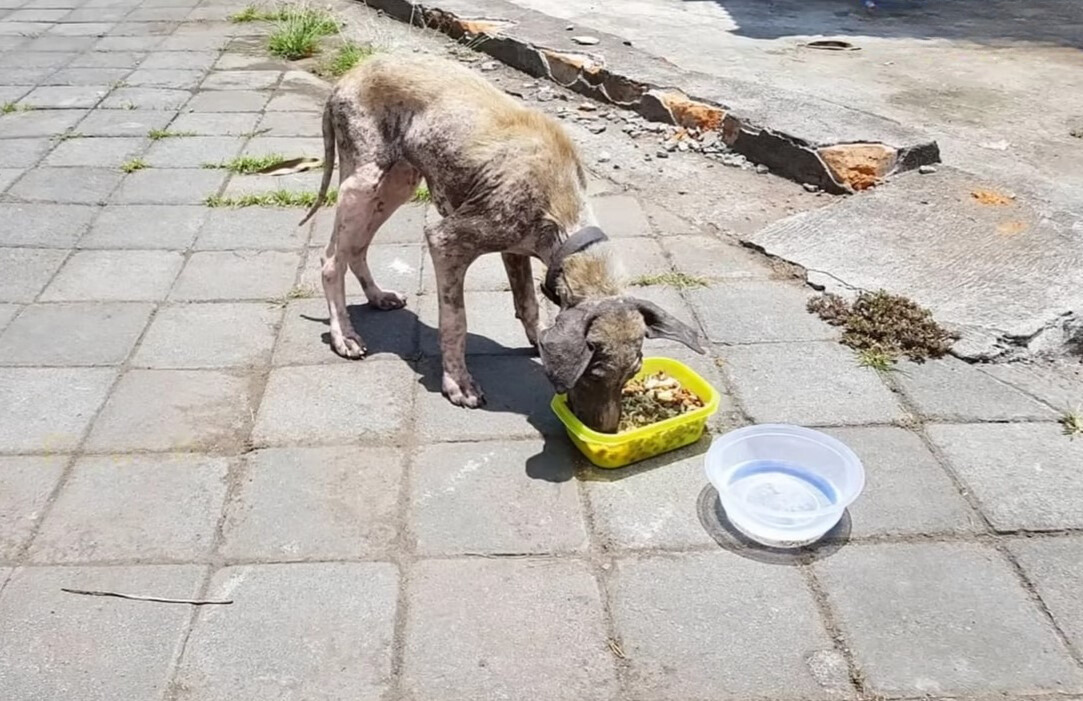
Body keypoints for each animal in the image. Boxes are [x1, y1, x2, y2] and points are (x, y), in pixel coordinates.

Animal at [298, 52, 701, 433]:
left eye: (632, 373)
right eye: (594, 374)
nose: (605, 431)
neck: (561, 206)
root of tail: (349, 75)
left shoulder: (516, 249)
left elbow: (528, 304)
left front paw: (538, 342)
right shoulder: (446, 242)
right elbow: (455, 322)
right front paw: (458, 383)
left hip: (398, 181)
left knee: (355, 248)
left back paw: (378, 296)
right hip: (363, 181)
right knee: (330, 259)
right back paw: (344, 335)